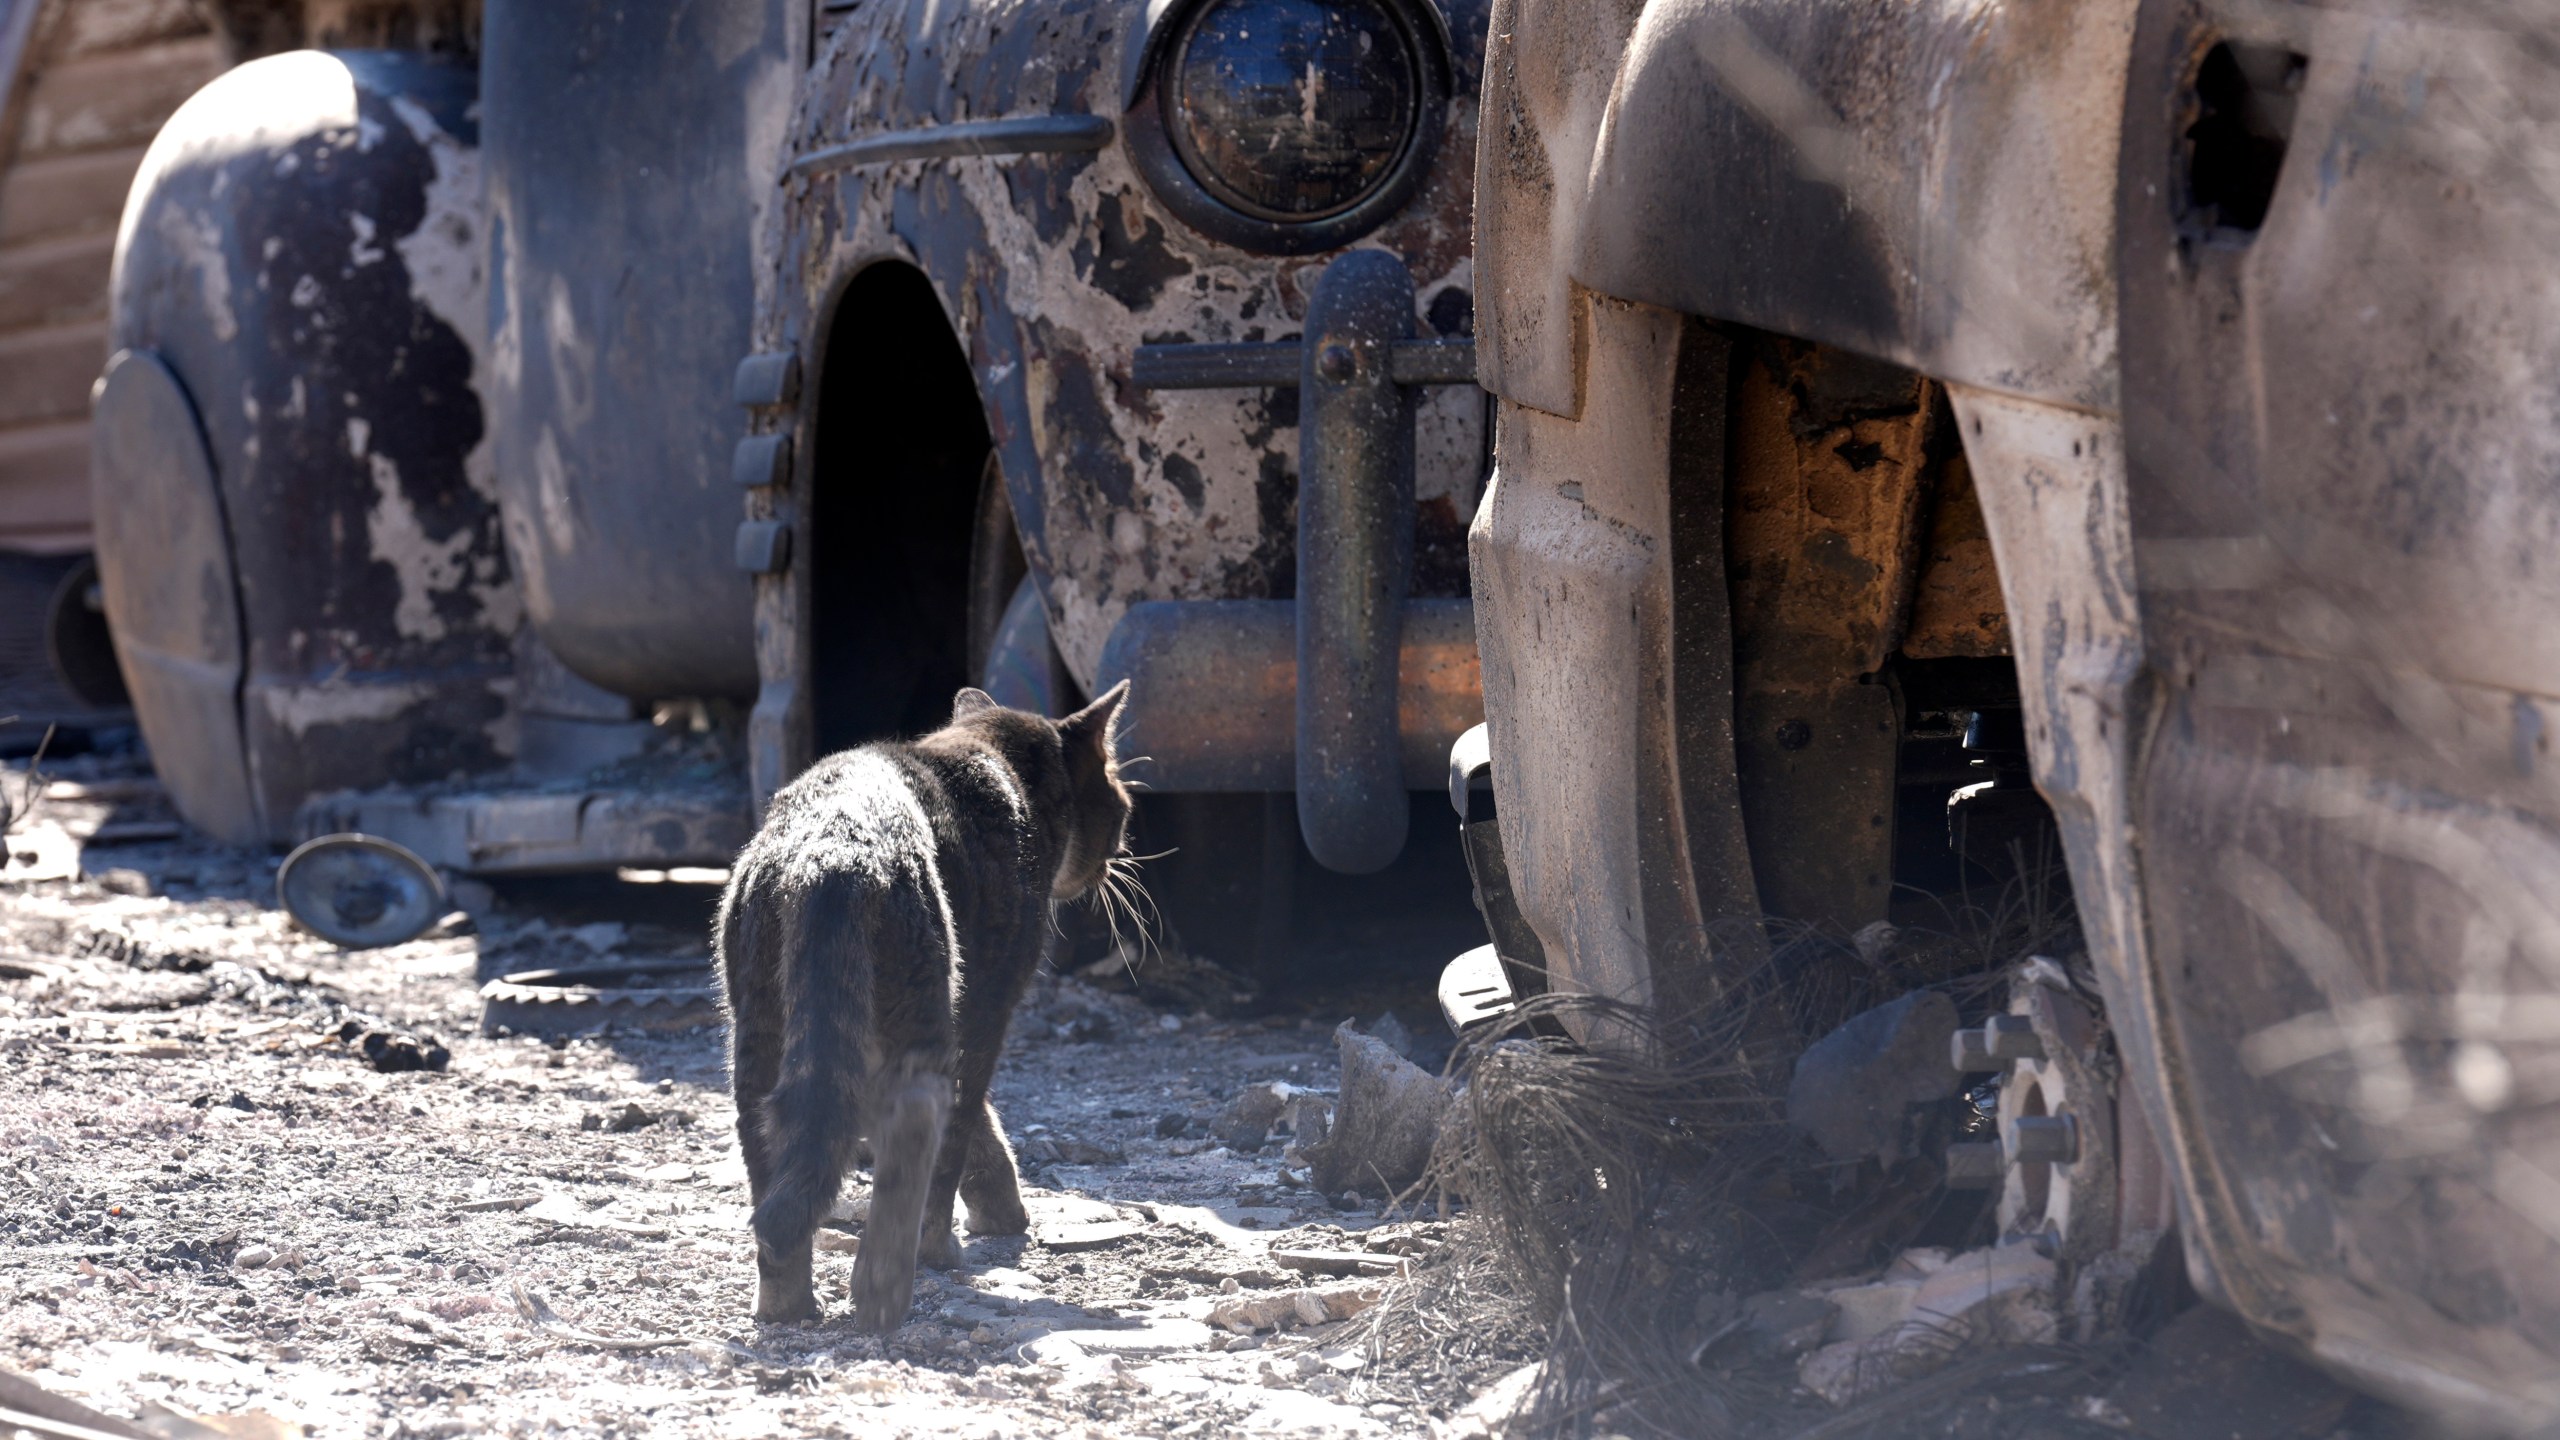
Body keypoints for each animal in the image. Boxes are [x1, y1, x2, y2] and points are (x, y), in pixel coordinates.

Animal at [711, 676, 1131, 1332]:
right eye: (1121, 801)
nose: (1120, 849)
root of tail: (830, 852)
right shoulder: (986, 1004)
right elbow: (963, 1128)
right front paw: (950, 1240)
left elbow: (983, 1127)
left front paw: (1003, 1208)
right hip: (924, 996)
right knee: (915, 1124)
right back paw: (885, 1288)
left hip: (759, 1032)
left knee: (774, 1150)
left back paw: (787, 1302)